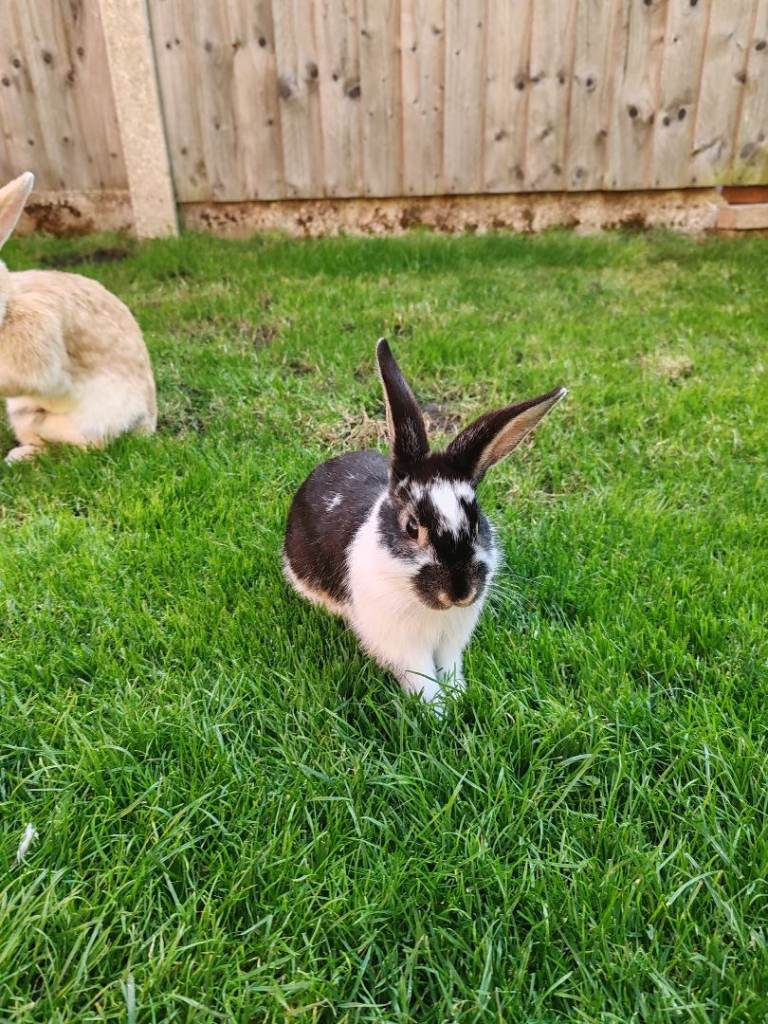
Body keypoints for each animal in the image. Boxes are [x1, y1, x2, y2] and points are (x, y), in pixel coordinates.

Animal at [284, 338, 567, 708]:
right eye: (411, 527)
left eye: (477, 522)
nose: (460, 592)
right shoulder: (404, 647)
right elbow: (422, 679)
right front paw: (437, 710)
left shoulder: (451, 642)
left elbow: (449, 668)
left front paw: (458, 696)